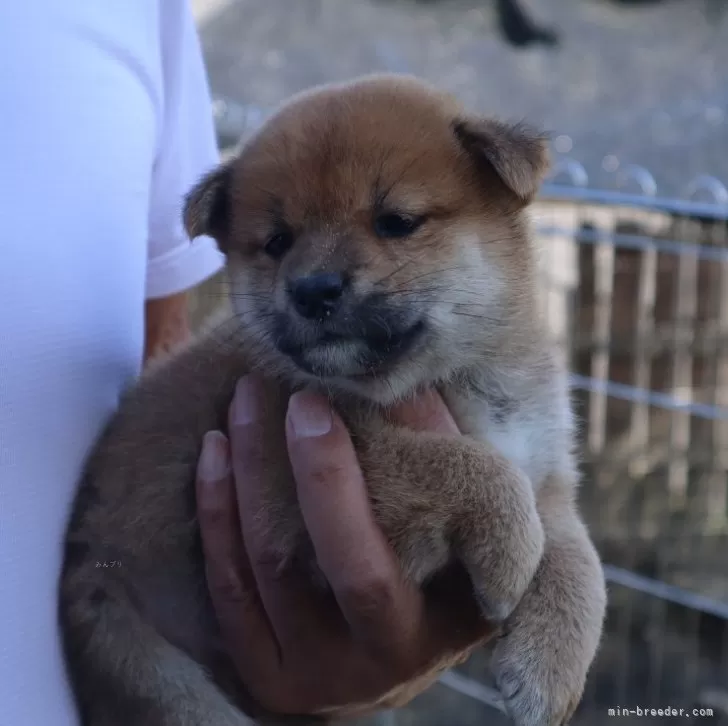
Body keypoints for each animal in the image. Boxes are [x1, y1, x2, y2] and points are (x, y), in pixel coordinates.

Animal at [59, 75, 608, 726]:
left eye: (396, 221)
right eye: (277, 241)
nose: (313, 290)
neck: (461, 374)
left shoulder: (548, 472)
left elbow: (579, 558)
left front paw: (552, 667)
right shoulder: (298, 474)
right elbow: (473, 469)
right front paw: (509, 559)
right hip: (154, 674)